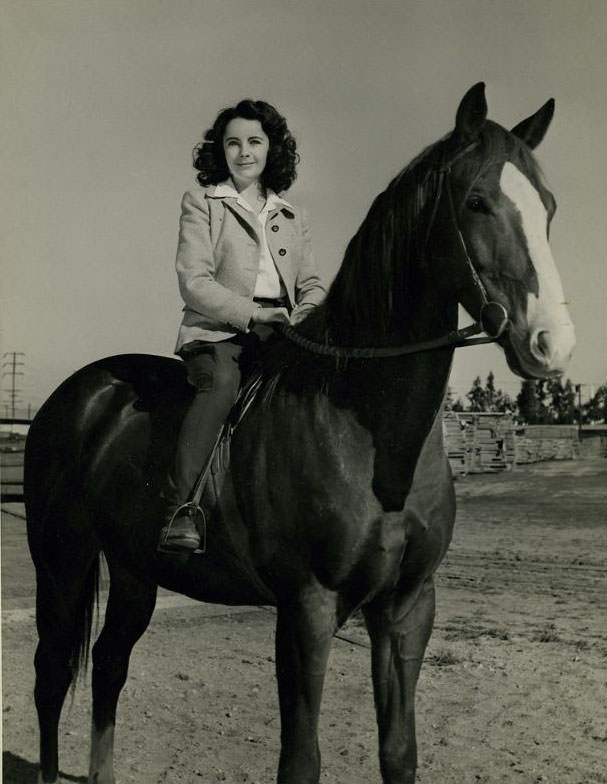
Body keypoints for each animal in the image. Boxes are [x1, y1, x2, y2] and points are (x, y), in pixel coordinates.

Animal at [23, 86, 576, 784]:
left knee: (108, 665)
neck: (369, 434)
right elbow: (301, 760)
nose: (552, 344)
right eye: (477, 201)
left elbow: (399, 753)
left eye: (548, 207)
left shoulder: (406, 608)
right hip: (62, 562)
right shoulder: (307, 609)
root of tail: (77, 394)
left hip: (133, 570)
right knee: (50, 677)